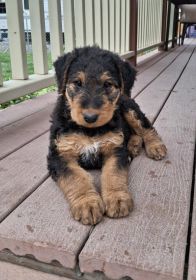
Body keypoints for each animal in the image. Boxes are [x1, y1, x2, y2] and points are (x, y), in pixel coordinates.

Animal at [47, 46, 165, 225]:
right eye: (77, 83)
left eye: (108, 84)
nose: (90, 117)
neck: (89, 130)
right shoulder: (60, 154)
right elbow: (76, 177)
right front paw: (87, 204)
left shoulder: (115, 149)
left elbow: (113, 173)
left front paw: (117, 199)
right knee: (134, 134)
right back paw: (133, 146)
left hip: (128, 108)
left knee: (146, 128)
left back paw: (155, 147)